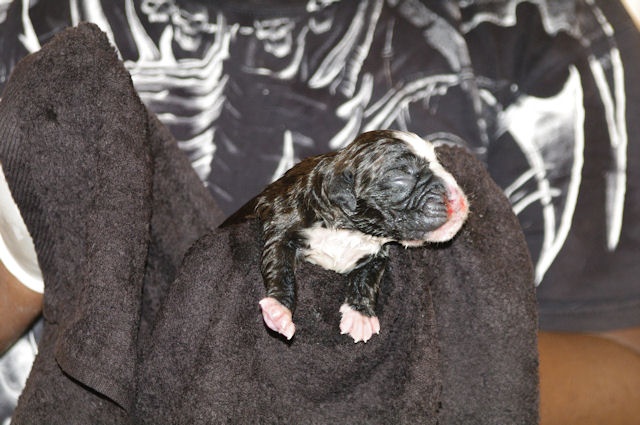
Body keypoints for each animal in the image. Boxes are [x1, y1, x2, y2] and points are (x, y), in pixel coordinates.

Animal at [255, 130, 469, 343]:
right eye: (402, 174)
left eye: (439, 161)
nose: (460, 201)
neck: (352, 232)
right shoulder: (281, 223)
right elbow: (281, 266)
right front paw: (278, 310)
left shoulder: (376, 255)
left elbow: (367, 278)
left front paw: (361, 316)